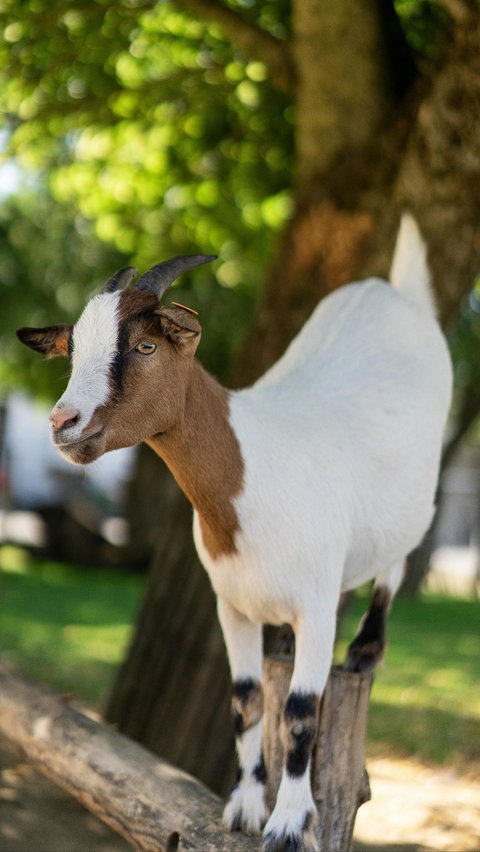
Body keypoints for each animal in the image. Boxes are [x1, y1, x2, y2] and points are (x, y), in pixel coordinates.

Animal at [17, 216, 454, 848]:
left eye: (146, 346)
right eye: (72, 351)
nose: (62, 423)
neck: (251, 480)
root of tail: (395, 290)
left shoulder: (316, 605)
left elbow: (300, 711)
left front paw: (289, 822)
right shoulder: (232, 606)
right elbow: (246, 702)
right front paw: (245, 806)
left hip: (419, 487)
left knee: (402, 550)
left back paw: (367, 650)